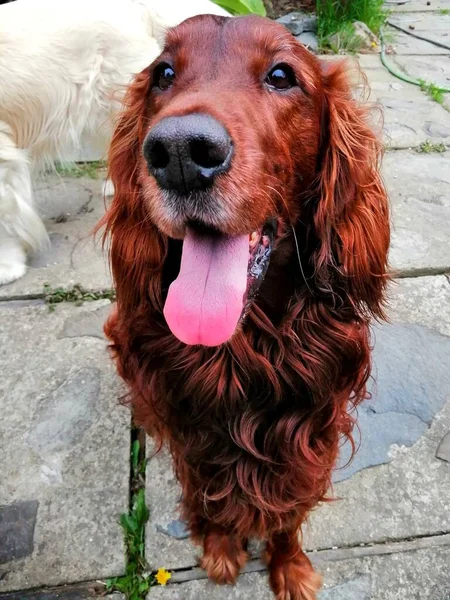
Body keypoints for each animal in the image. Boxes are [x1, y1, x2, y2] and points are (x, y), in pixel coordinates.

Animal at [100, 14, 388, 600]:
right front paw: (220, 547)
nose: (180, 154)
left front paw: (290, 566)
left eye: (281, 75)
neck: (242, 349)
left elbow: (287, 512)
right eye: (164, 74)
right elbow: (207, 495)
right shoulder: (191, 432)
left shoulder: (309, 433)